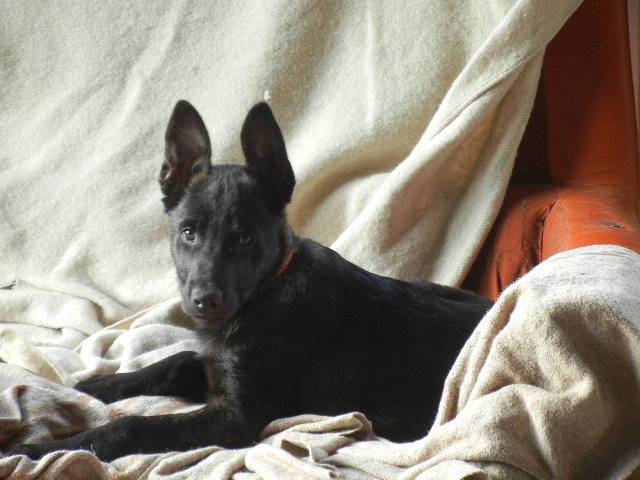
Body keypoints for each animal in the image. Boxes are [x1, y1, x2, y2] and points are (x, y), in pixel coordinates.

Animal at [12, 101, 493, 461]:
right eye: (189, 233)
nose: (204, 301)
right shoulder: (215, 370)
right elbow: (177, 360)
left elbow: (130, 427)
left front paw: (42, 449)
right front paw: (99, 384)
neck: (268, 292)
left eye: (244, 239)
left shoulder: (236, 417)